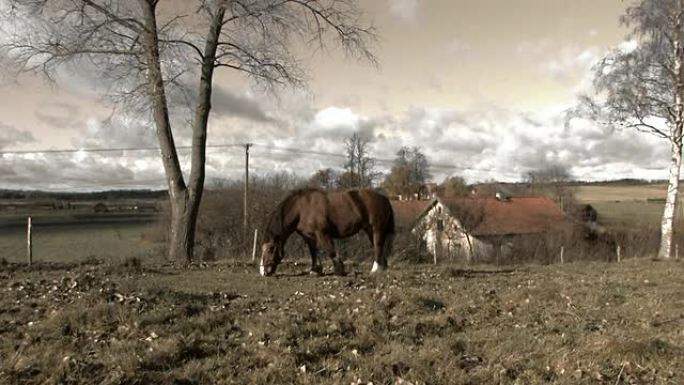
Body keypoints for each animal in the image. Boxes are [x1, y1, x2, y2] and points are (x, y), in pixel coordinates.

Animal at [258, 187, 396, 274]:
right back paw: (382, 267)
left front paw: (339, 269)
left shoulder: (322, 233)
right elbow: (314, 252)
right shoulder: (309, 236)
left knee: (378, 246)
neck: (301, 209)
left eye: (270, 249)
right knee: (379, 247)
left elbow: (330, 250)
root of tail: (384, 198)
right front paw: (315, 270)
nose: (263, 271)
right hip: (369, 230)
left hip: (377, 229)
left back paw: (375, 269)